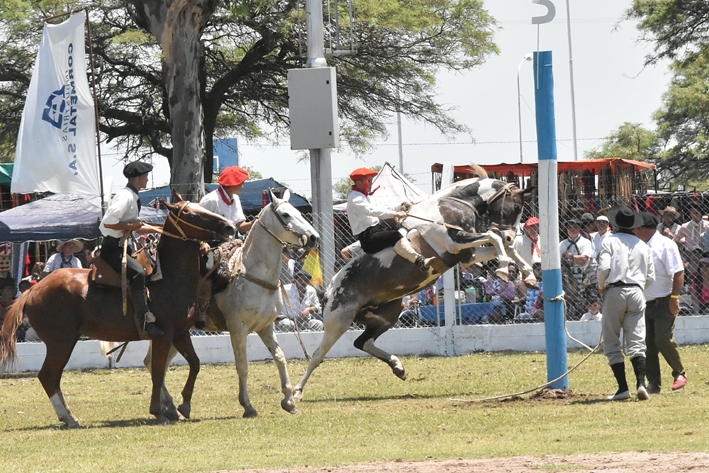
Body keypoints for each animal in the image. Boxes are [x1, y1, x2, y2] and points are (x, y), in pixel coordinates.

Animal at [0, 197, 235, 426]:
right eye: (191, 214)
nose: (229, 226)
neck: (169, 280)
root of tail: (32, 291)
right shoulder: (163, 336)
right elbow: (158, 373)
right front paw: (158, 412)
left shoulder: (180, 333)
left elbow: (194, 363)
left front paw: (183, 406)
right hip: (61, 342)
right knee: (48, 376)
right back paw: (69, 417)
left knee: (51, 377)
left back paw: (68, 416)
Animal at [292, 170, 532, 398]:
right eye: (516, 206)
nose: (511, 235)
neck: (448, 207)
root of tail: (328, 291)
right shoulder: (456, 242)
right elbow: (494, 237)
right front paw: (503, 268)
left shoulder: (466, 255)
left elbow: (503, 246)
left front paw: (528, 275)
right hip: (338, 322)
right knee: (317, 356)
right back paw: (295, 394)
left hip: (388, 315)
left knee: (363, 342)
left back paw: (398, 367)